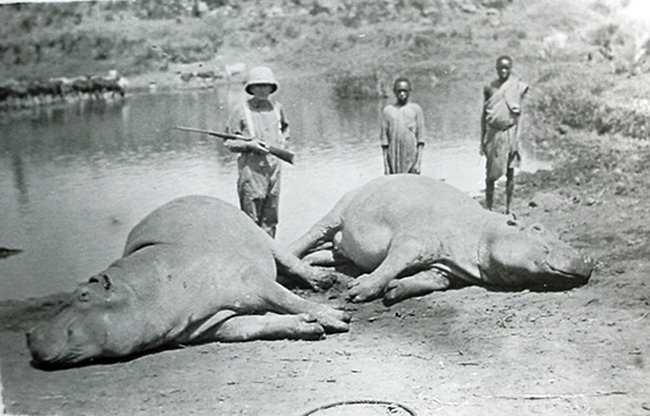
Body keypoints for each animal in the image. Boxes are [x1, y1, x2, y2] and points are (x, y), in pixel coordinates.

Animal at [26, 196, 350, 368]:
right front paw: (309, 326)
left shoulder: (247, 277)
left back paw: (322, 281)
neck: (140, 292)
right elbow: (252, 326)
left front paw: (339, 318)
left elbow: (287, 299)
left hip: (260, 237)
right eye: (75, 292)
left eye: (83, 294)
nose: (29, 333)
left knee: (287, 260)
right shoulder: (203, 326)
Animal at [288, 174, 592, 304]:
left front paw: (395, 290)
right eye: (537, 228)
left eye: (556, 232)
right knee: (304, 238)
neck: (482, 232)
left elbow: (432, 280)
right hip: (338, 210)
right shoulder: (410, 241)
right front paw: (357, 291)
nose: (588, 258)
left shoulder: (447, 268)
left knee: (324, 252)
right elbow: (392, 263)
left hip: (341, 247)